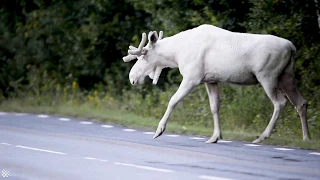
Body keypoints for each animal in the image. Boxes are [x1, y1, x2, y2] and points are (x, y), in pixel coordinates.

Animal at [122, 24, 310, 143]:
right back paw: (306, 138)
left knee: (280, 102)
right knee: (301, 102)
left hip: (267, 76)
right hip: (286, 76)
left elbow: (173, 101)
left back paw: (262, 136)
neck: (175, 55)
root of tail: (292, 47)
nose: (132, 77)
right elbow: (214, 107)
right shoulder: (211, 80)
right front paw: (215, 137)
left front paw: (159, 130)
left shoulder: (192, 78)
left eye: (144, 54)